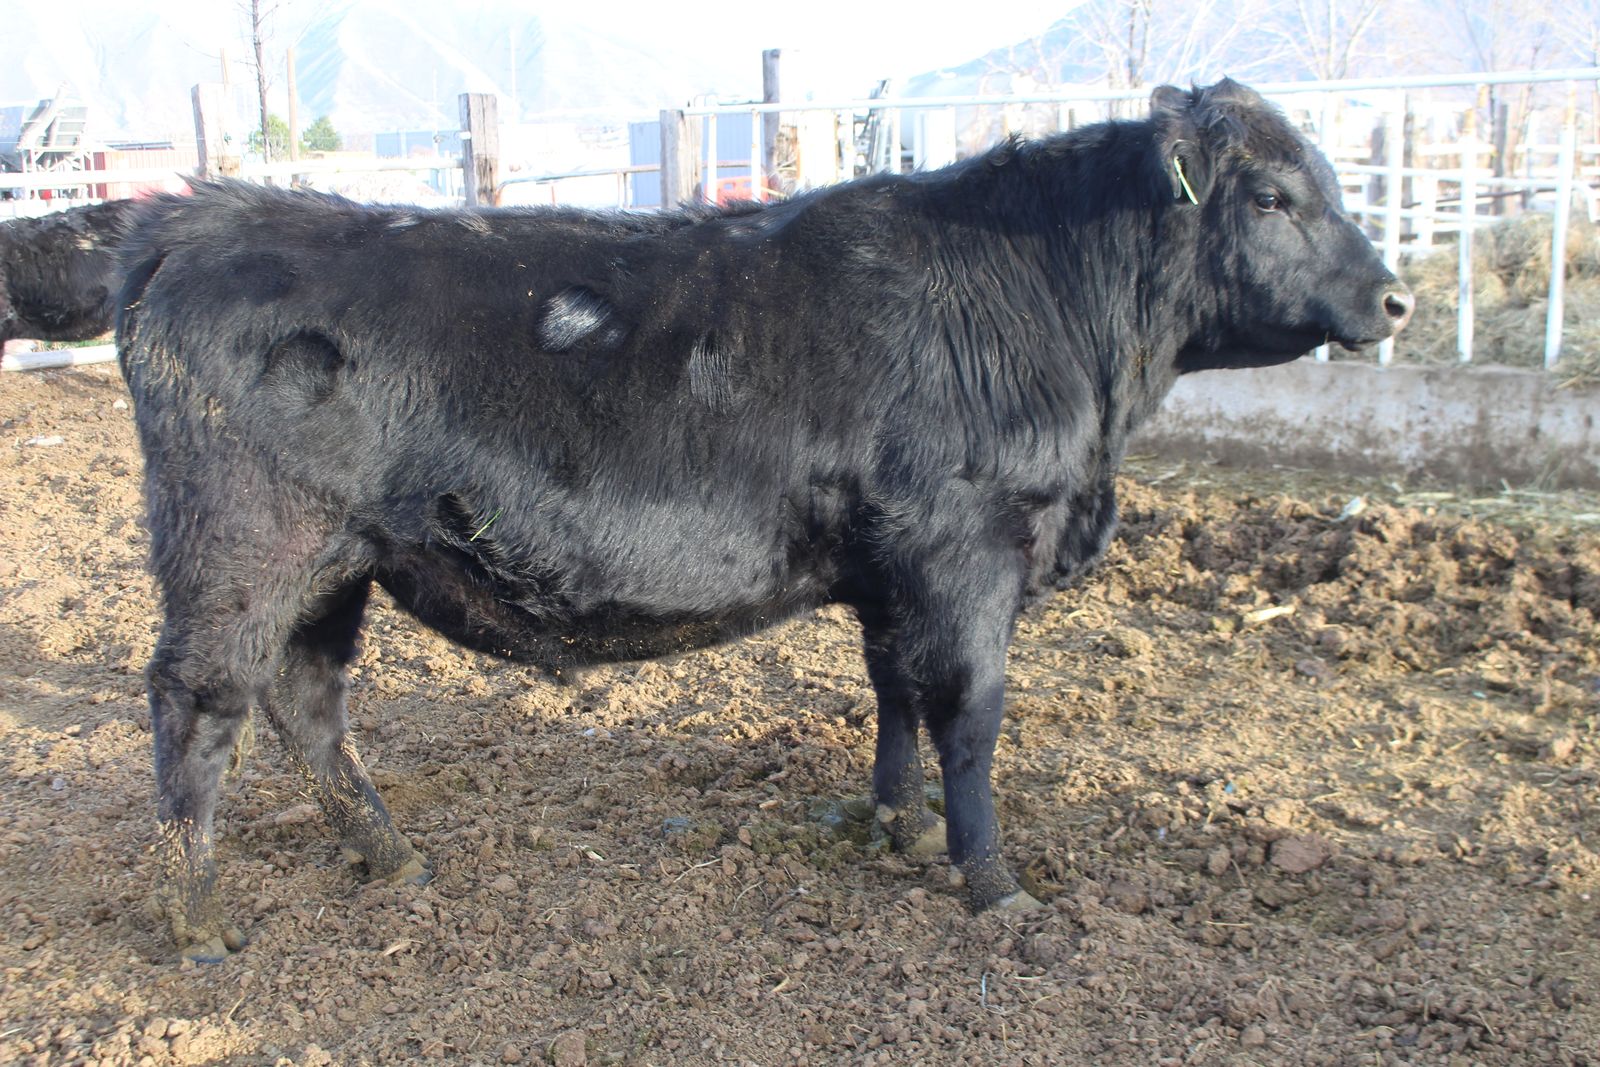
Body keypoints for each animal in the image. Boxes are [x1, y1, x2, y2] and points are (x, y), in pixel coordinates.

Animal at [115, 78, 1412, 962]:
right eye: (1271, 194)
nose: (1396, 297)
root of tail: (208, 216)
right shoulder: (967, 553)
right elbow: (971, 716)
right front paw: (992, 881)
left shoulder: (895, 570)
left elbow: (894, 694)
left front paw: (891, 827)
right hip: (241, 549)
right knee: (199, 706)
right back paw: (195, 915)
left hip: (336, 564)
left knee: (307, 702)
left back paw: (387, 853)